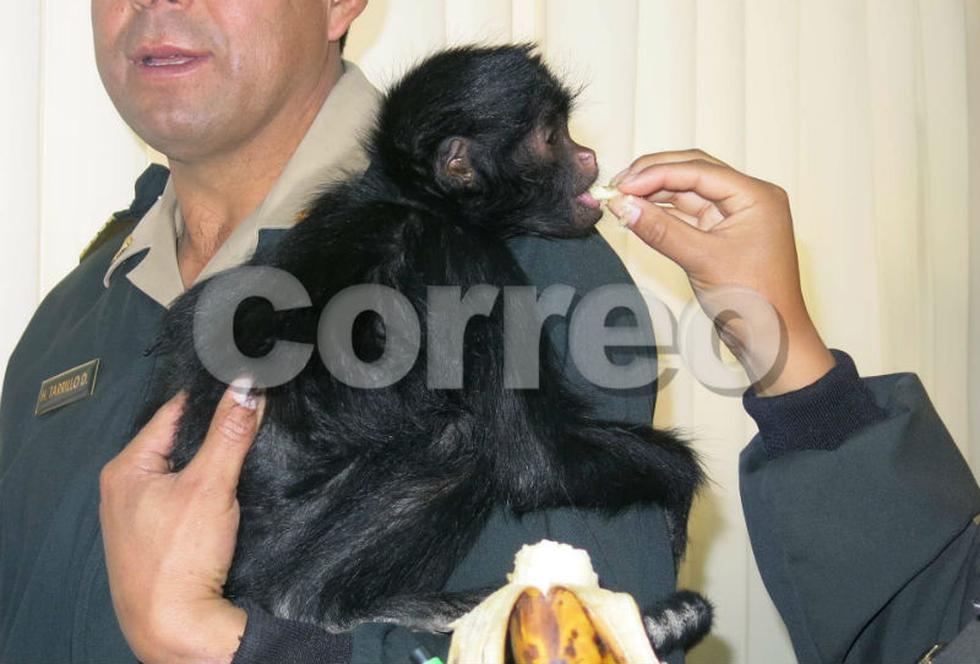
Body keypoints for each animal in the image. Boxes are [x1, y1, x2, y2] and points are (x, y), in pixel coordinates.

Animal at [156, 44, 712, 655]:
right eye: (551, 137)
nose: (588, 156)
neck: (412, 200)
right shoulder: (467, 261)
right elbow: (537, 463)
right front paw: (679, 490)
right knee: (460, 438)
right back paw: (318, 607)